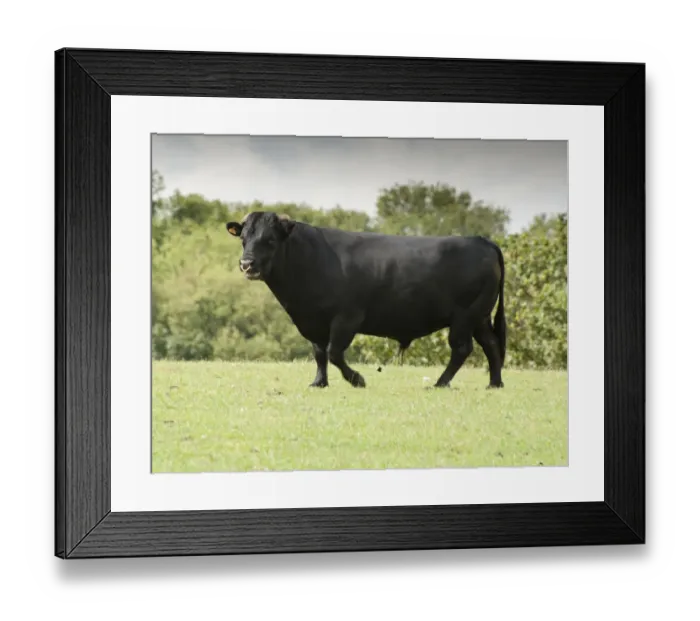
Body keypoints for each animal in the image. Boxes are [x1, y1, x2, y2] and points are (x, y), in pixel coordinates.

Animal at [226, 211, 506, 390]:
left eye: (270, 240)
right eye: (243, 239)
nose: (246, 264)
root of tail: (482, 241)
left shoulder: (347, 317)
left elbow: (334, 352)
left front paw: (357, 379)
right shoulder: (313, 320)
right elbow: (319, 353)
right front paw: (319, 383)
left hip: (464, 316)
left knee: (462, 349)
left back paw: (440, 383)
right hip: (480, 317)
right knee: (491, 344)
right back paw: (494, 383)